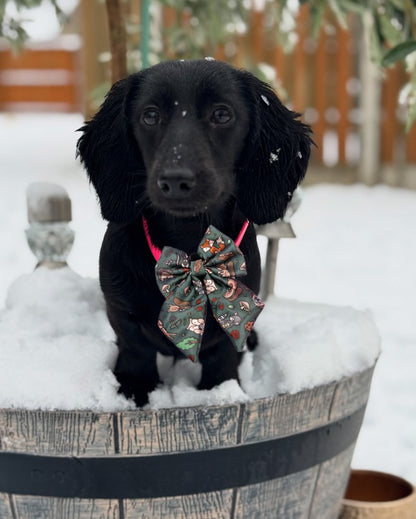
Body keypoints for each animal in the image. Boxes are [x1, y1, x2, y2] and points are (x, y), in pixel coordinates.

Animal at [78, 58, 312, 406]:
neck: (188, 247)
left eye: (222, 114)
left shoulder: (233, 320)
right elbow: (135, 349)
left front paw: (220, 392)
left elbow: (224, 354)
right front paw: (134, 390)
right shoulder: (121, 308)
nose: (176, 180)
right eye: (150, 115)